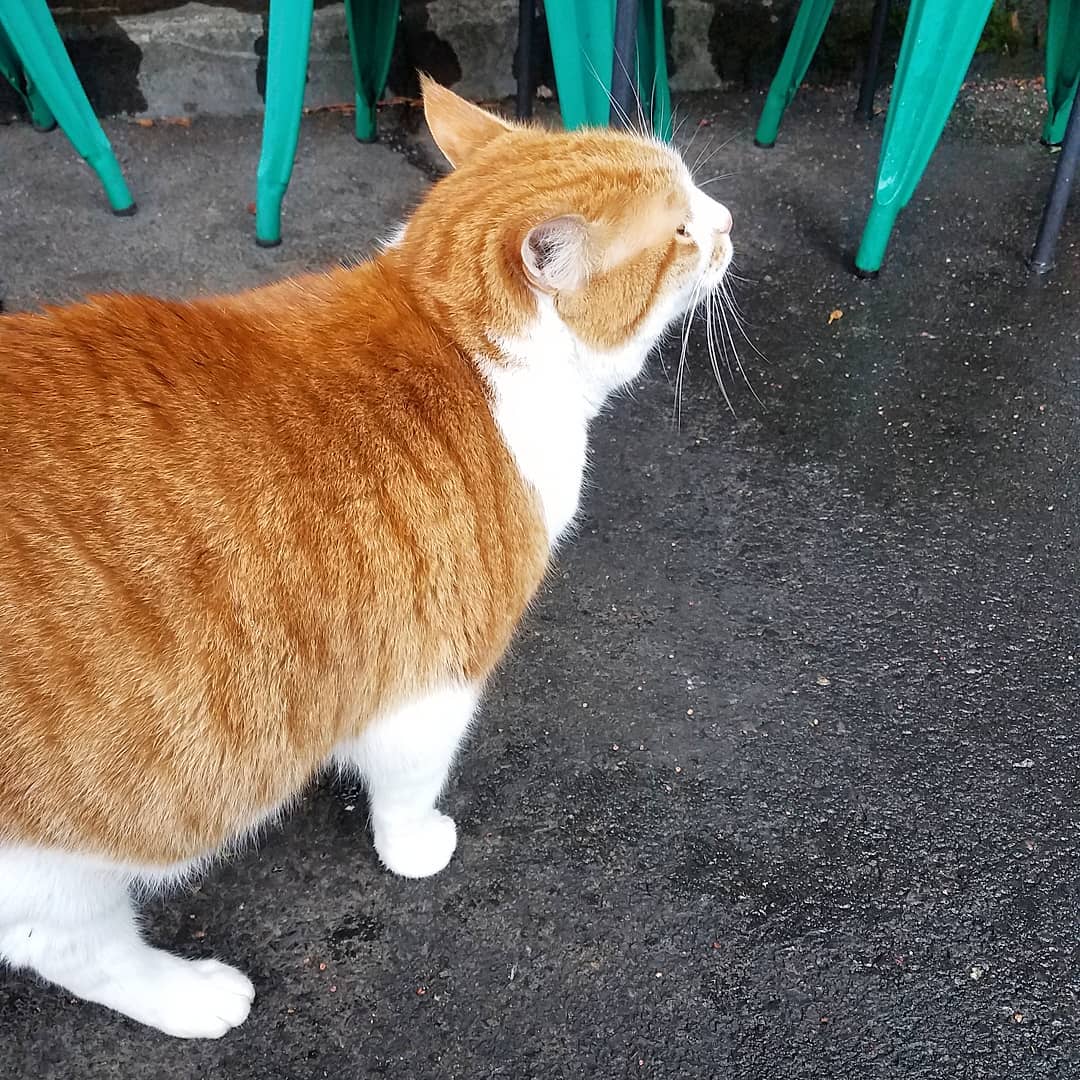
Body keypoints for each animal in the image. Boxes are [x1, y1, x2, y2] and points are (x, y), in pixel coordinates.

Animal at [0, 78, 734, 1036]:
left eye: (696, 200)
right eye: (681, 228)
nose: (730, 220)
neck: (452, 332)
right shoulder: (430, 684)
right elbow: (409, 783)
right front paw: (415, 845)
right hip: (50, 871)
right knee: (69, 948)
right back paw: (192, 998)